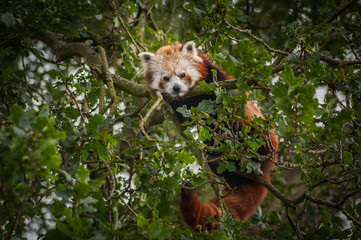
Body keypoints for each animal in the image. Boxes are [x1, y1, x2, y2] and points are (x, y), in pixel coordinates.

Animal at [139, 42, 278, 232]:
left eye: (182, 74)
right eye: (166, 78)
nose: (176, 88)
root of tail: (265, 174)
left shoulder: (216, 80)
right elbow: (183, 118)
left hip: (261, 138)